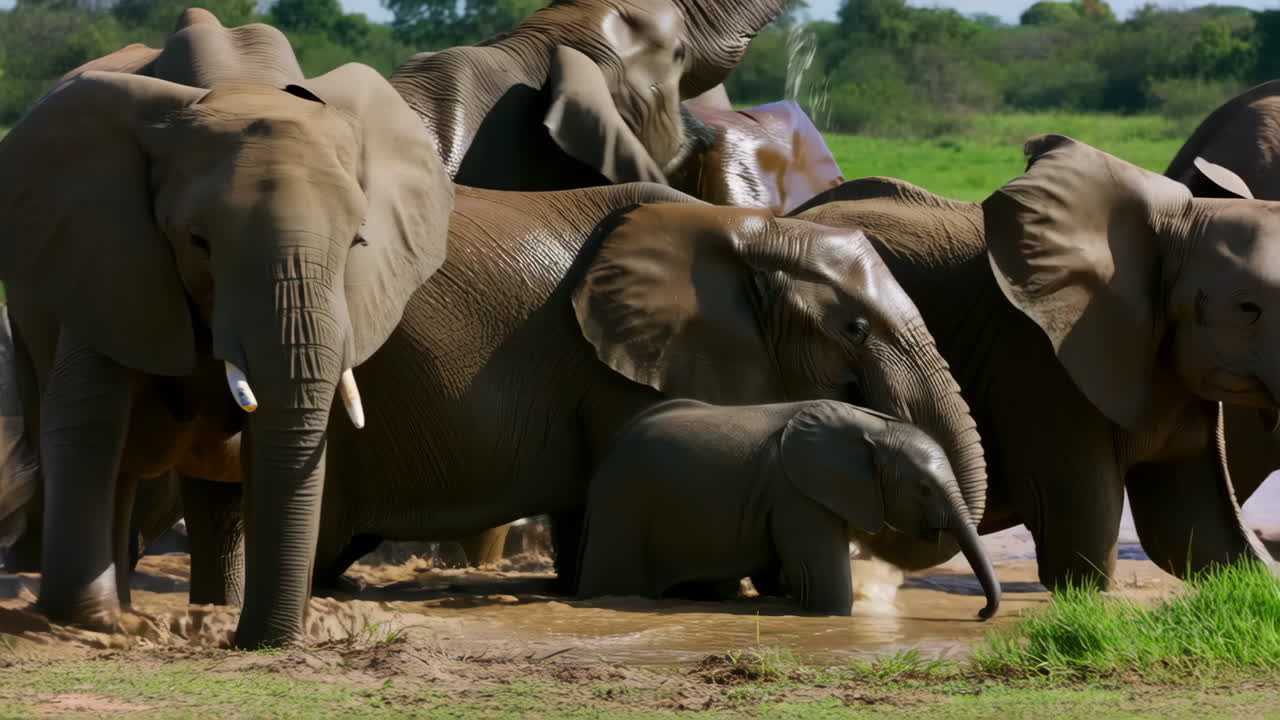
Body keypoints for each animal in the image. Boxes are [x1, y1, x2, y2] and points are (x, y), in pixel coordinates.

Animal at [0, 11, 451, 647]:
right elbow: (87, 418)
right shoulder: (104, 251)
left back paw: (212, 607)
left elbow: (264, 445)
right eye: (198, 242)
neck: (241, 81)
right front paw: (96, 623)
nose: (253, 641)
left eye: (358, 242)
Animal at [576, 398, 1001, 619]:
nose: (979, 614)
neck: (874, 429)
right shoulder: (797, 493)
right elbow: (826, 589)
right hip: (623, 510)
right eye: (924, 489)